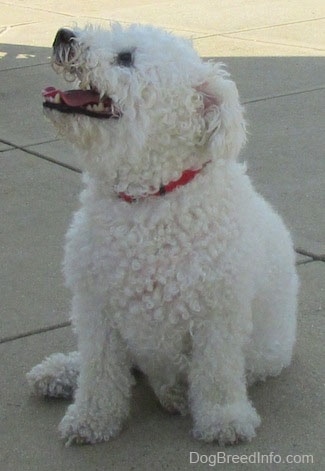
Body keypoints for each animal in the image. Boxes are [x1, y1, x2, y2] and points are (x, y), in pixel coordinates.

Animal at [26, 24, 298, 446]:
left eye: (126, 58)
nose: (63, 35)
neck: (148, 199)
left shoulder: (219, 314)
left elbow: (217, 374)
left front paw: (224, 419)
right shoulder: (95, 307)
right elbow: (99, 371)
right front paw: (91, 418)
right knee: (100, 364)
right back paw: (60, 371)